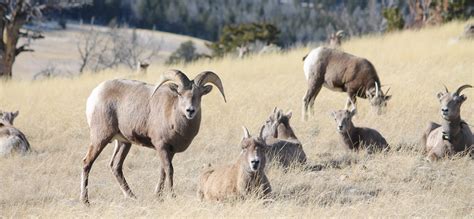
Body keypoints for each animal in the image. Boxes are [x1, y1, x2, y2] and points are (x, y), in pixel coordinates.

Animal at [81, 69, 226, 204]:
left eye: (199, 94)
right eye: (180, 93)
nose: (190, 111)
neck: (172, 116)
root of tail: (94, 95)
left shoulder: (169, 151)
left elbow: (163, 171)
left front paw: (158, 196)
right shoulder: (162, 146)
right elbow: (169, 170)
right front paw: (172, 196)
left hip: (124, 143)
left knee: (115, 166)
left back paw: (132, 196)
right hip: (100, 138)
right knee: (87, 163)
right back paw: (85, 201)